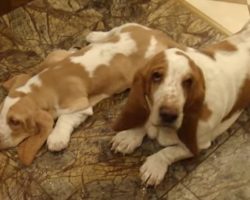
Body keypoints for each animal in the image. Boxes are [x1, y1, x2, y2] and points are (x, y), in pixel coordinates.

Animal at [0, 22, 180, 165]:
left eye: (15, 122)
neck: (42, 85)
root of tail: (158, 35)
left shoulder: (81, 105)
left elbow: (64, 118)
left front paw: (57, 138)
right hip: (128, 26)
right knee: (112, 31)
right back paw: (95, 36)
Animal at [111, 20, 250, 186]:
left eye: (188, 82)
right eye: (156, 75)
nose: (169, 115)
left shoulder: (198, 144)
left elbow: (170, 151)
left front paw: (154, 166)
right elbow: (145, 119)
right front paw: (129, 136)